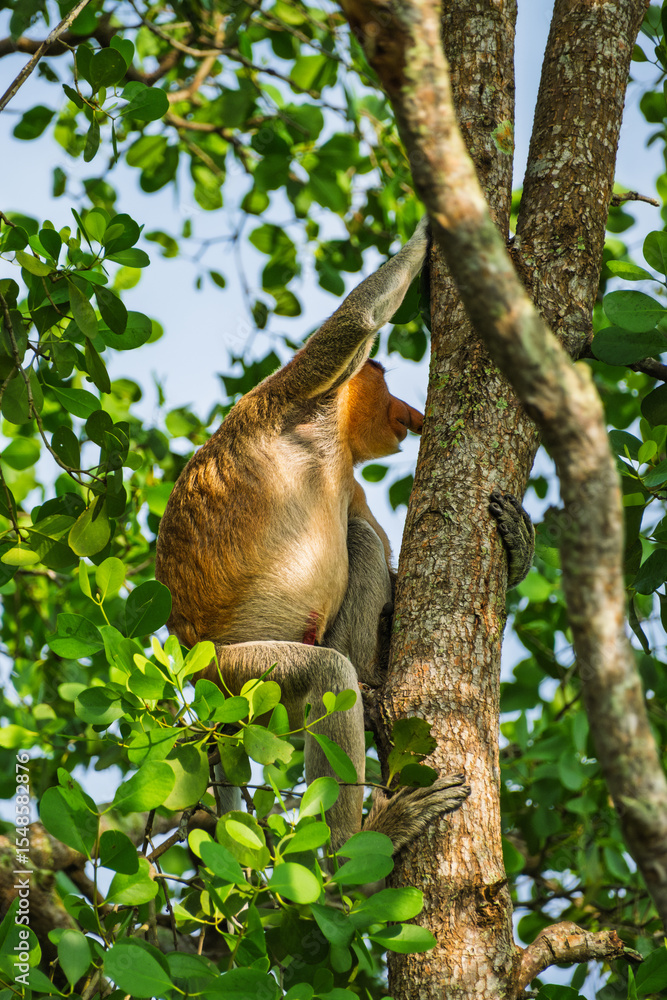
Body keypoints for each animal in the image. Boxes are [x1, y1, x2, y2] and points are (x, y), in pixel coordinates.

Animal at [155, 217, 533, 852]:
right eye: (384, 386)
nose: (410, 413)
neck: (330, 437)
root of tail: (185, 650)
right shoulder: (295, 392)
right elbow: (357, 322)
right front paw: (430, 226)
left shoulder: (346, 474)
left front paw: (517, 545)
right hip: (230, 674)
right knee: (329, 674)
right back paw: (361, 846)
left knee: (361, 545)